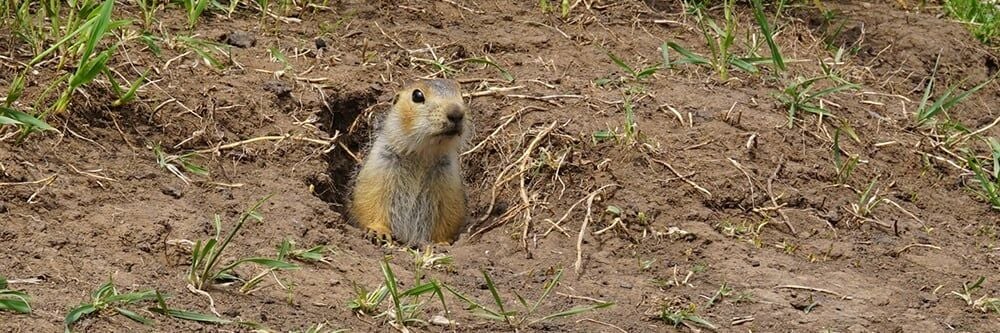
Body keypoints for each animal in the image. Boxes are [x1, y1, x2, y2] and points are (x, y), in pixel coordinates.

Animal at [348, 77, 472, 244]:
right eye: (417, 96)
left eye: (461, 94)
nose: (456, 112)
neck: (422, 153)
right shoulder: (378, 166)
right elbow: (369, 201)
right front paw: (378, 231)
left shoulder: (449, 179)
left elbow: (450, 213)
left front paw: (442, 242)